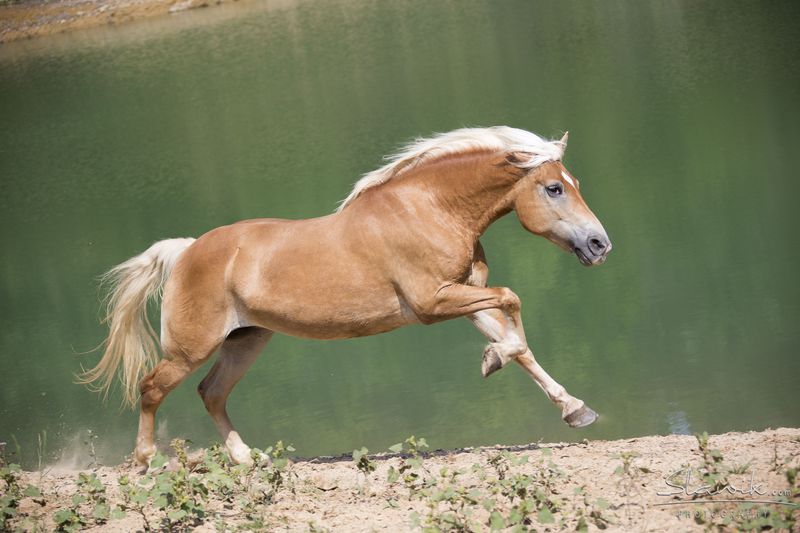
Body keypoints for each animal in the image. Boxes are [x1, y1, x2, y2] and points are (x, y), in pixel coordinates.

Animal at [81, 127, 612, 464]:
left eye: (573, 184)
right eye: (553, 188)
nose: (599, 245)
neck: (429, 209)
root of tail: (187, 250)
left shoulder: (464, 296)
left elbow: (518, 343)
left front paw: (574, 409)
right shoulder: (433, 303)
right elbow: (513, 301)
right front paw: (492, 360)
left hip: (247, 339)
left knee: (211, 392)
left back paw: (246, 458)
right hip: (191, 347)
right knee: (152, 389)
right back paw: (143, 462)